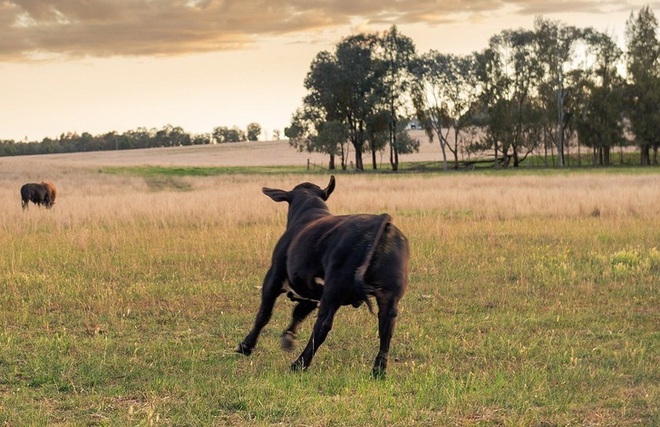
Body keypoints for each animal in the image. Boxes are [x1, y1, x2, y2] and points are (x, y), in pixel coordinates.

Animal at [237, 176, 410, 380]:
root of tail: (381, 220)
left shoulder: (274, 277)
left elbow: (264, 314)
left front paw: (246, 346)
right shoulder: (312, 293)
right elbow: (298, 314)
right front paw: (288, 337)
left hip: (333, 290)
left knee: (323, 325)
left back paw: (299, 364)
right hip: (389, 294)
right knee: (386, 327)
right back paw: (379, 370)